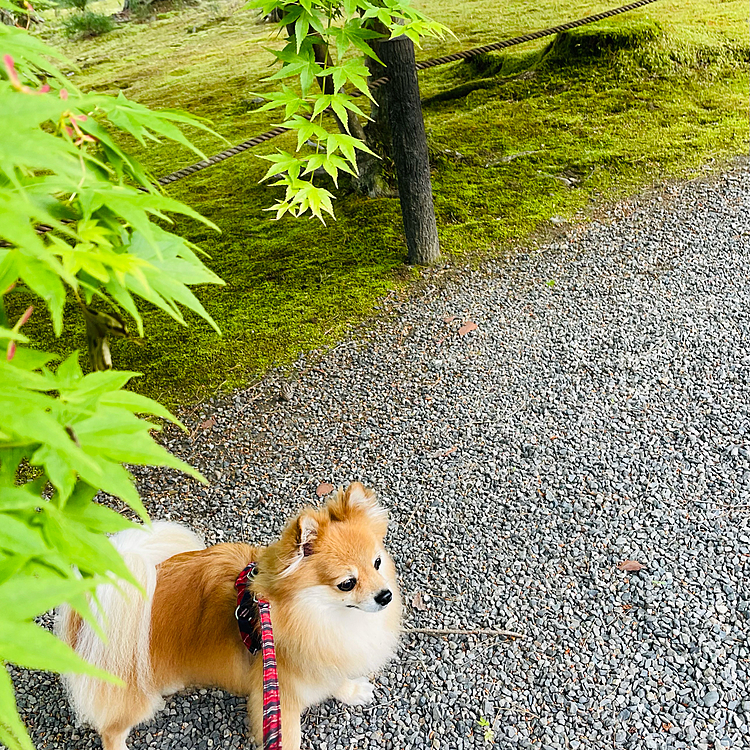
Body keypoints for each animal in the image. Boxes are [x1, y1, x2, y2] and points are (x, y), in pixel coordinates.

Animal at [55, 484, 402, 748]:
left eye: (376, 563)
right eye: (347, 583)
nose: (385, 595)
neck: (320, 616)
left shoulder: (326, 658)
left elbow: (336, 678)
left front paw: (352, 691)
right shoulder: (279, 697)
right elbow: (288, 738)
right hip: (130, 694)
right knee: (111, 731)